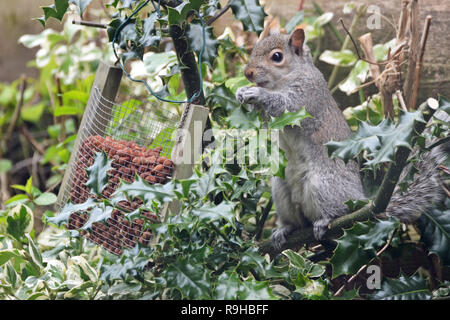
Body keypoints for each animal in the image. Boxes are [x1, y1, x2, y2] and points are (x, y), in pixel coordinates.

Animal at [237, 28, 448, 248]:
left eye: (277, 57)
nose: (247, 73)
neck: (285, 78)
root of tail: (364, 202)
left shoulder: (307, 98)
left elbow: (286, 105)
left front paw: (257, 93)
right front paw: (241, 92)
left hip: (323, 186)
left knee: (339, 211)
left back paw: (325, 221)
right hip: (282, 191)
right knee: (296, 221)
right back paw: (284, 230)